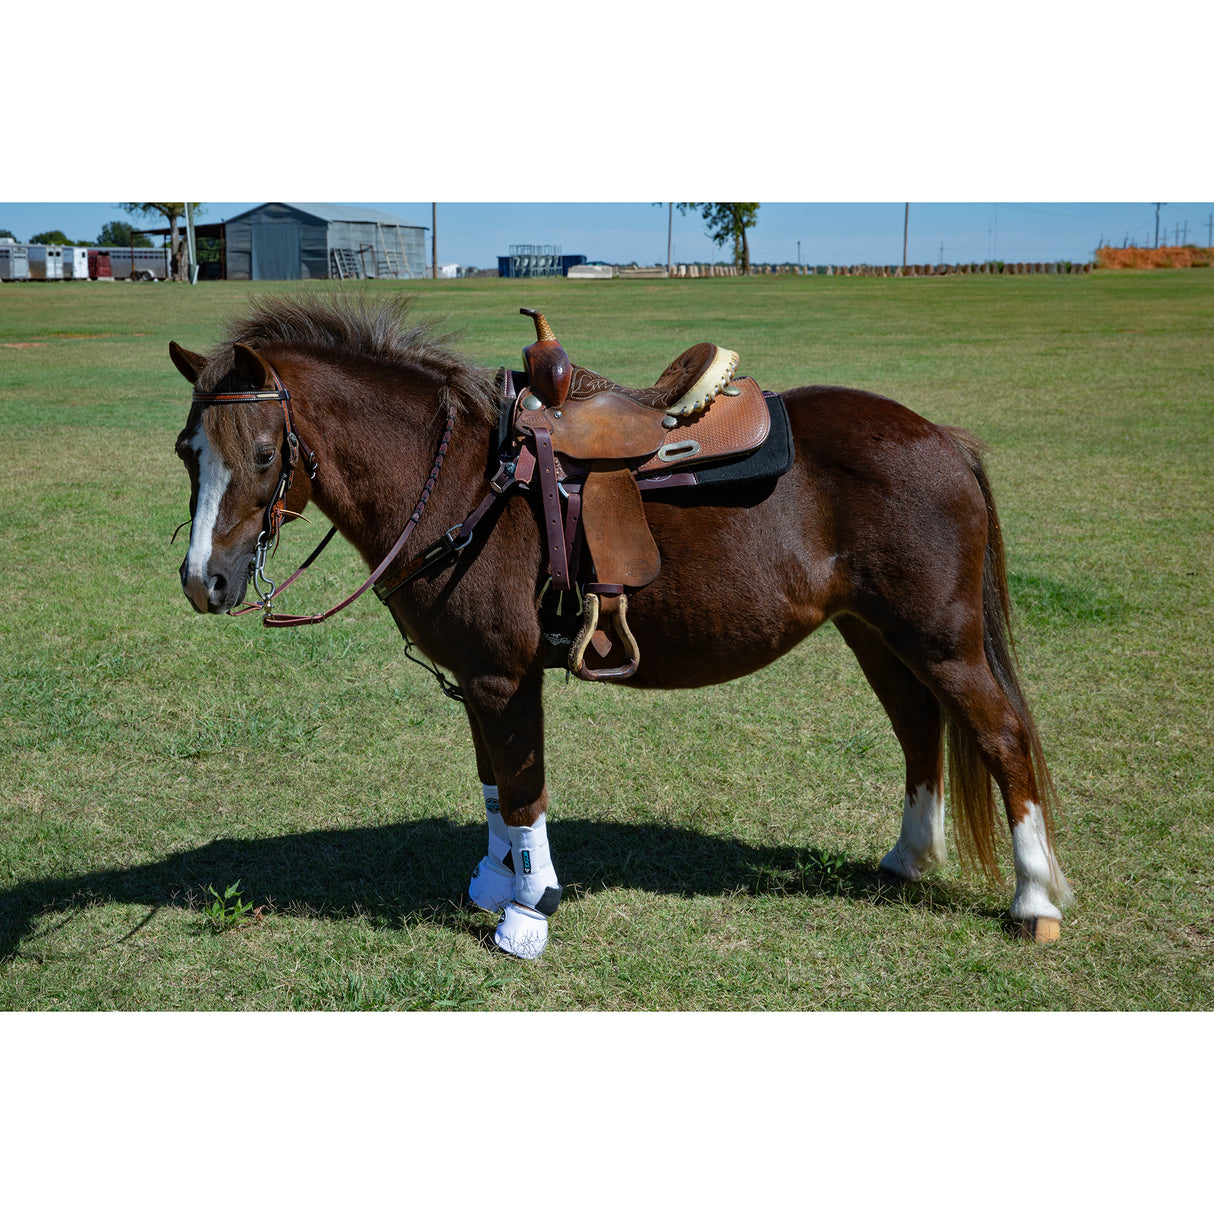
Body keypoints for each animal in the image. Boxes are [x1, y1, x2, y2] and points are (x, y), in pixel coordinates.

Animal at [169, 292, 1073, 959]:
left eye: (262, 454)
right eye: (186, 449)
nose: (202, 582)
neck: (458, 477)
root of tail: (939, 436)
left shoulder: (503, 678)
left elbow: (524, 791)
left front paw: (529, 911)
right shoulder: (478, 679)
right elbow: (492, 786)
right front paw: (495, 881)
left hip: (940, 637)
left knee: (1000, 736)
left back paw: (1033, 900)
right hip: (874, 632)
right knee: (919, 728)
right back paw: (908, 859)